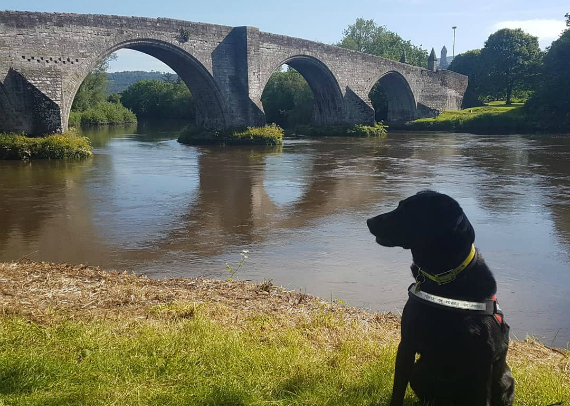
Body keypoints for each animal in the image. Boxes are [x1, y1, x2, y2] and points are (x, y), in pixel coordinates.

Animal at [366, 191, 512, 406]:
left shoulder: (483, 360)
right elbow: (397, 390)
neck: (443, 282)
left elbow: (482, 399)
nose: (369, 220)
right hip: (419, 369)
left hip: (504, 380)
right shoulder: (406, 344)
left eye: (408, 210)